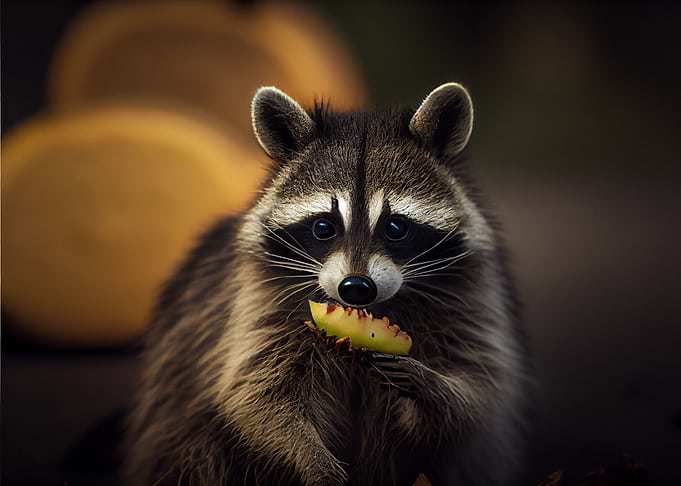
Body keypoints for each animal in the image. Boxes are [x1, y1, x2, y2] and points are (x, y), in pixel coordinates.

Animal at [124, 83, 528, 486]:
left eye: (395, 227)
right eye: (323, 227)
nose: (356, 287)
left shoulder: (468, 296)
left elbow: (480, 391)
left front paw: (429, 383)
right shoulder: (256, 301)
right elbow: (257, 395)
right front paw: (312, 460)